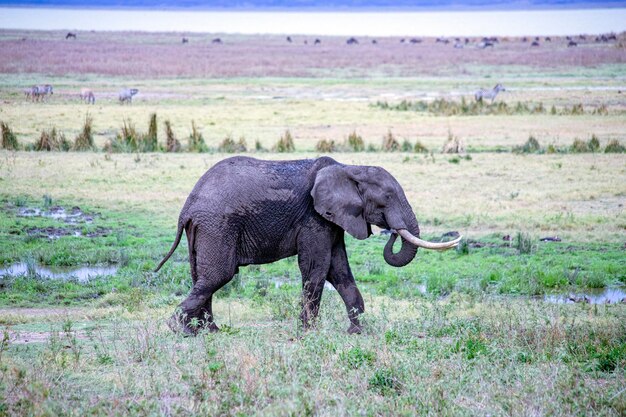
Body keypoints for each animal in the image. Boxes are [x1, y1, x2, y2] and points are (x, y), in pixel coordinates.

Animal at [156, 156, 458, 334]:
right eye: (387, 197)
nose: (392, 231)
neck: (350, 167)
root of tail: (187, 207)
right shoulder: (314, 216)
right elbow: (317, 267)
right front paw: (308, 332)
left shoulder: (332, 219)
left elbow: (339, 270)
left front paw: (358, 332)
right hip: (217, 225)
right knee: (218, 275)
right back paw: (179, 329)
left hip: (205, 229)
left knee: (201, 276)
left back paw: (208, 331)